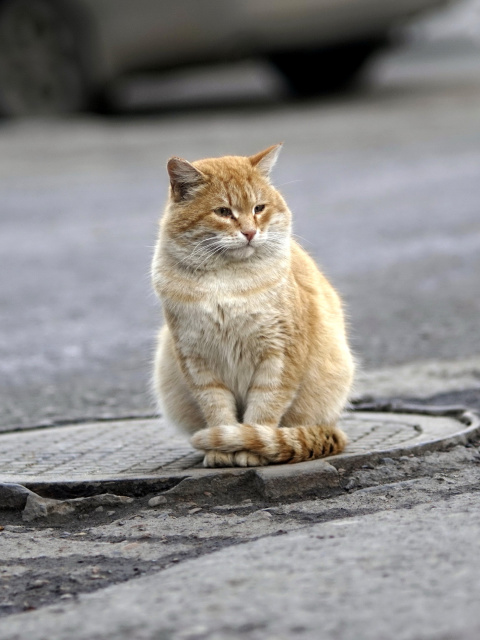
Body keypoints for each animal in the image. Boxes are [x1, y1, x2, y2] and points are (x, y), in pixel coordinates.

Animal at [152, 144, 354, 464]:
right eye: (223, 212)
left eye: (259, 208)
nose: (249, 232)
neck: (226, 281)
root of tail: (334, 428)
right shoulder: (197, 361)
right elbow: (217, 410)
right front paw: (220, 452)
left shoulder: (279, 355)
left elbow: (263, 410)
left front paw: (248, 449)